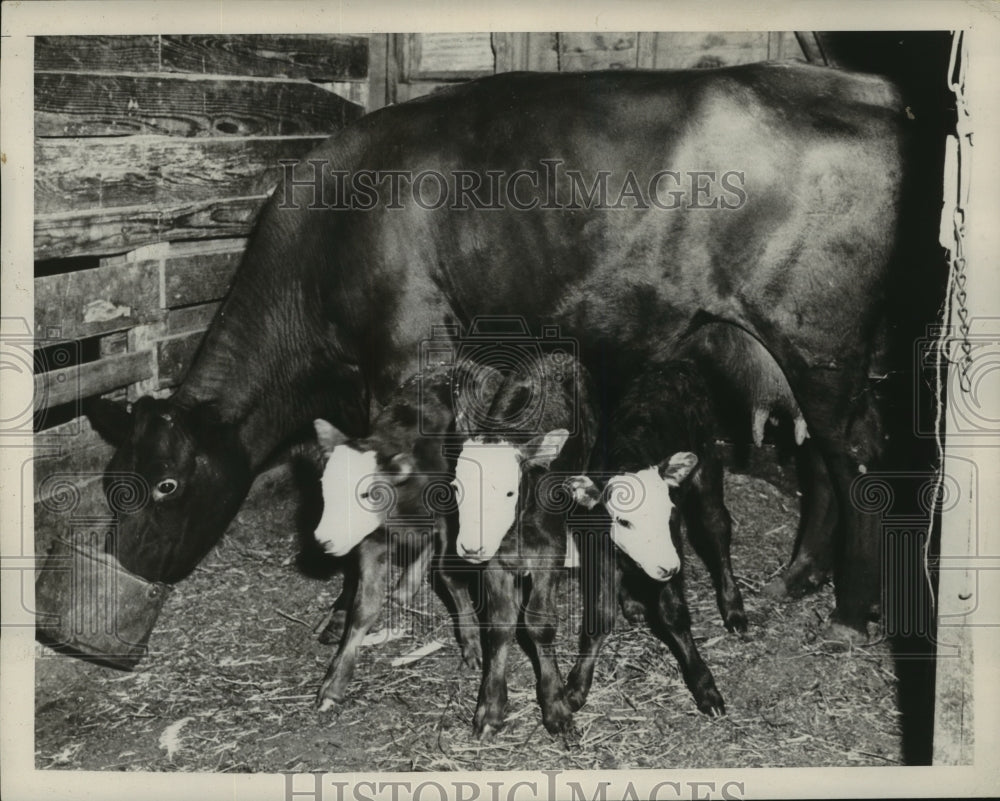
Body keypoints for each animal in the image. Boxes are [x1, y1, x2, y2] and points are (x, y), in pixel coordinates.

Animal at [456, 350, 600, 736]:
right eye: (457, 488)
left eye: (508, 491)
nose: (470, 548)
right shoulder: (494, 559)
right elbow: (500, 624)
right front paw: (490, 706)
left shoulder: (550, 552)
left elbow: (540, 623)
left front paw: (556, 706)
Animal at [564, 360, 744, 716]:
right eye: (623, 520)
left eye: (669, 513)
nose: (667, 568)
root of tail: (677, 365)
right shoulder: (600, 543)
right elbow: (600, 615)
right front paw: (576, 687)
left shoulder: (673, 545)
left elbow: (673, 613)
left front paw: (704, 685)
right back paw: (634, 603)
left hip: (708, 463)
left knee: (717, 527)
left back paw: (733, 608)